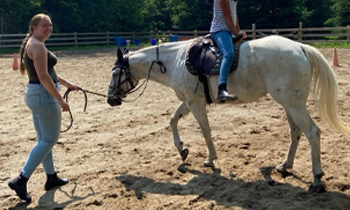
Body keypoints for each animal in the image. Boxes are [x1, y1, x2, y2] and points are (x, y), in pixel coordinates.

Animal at [107, 34, 350, 192]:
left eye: (116, 73)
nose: (110, 99)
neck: (174, 60)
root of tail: (300, 47)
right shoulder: (188, 101)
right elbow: (172, 119)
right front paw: (182, 150)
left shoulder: (195, 103)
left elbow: (205, 130)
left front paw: (210, 158)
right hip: (290, 104)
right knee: (296, 132)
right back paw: (284, 166)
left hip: (293, 104)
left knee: (312, 132)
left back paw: (317, 178)